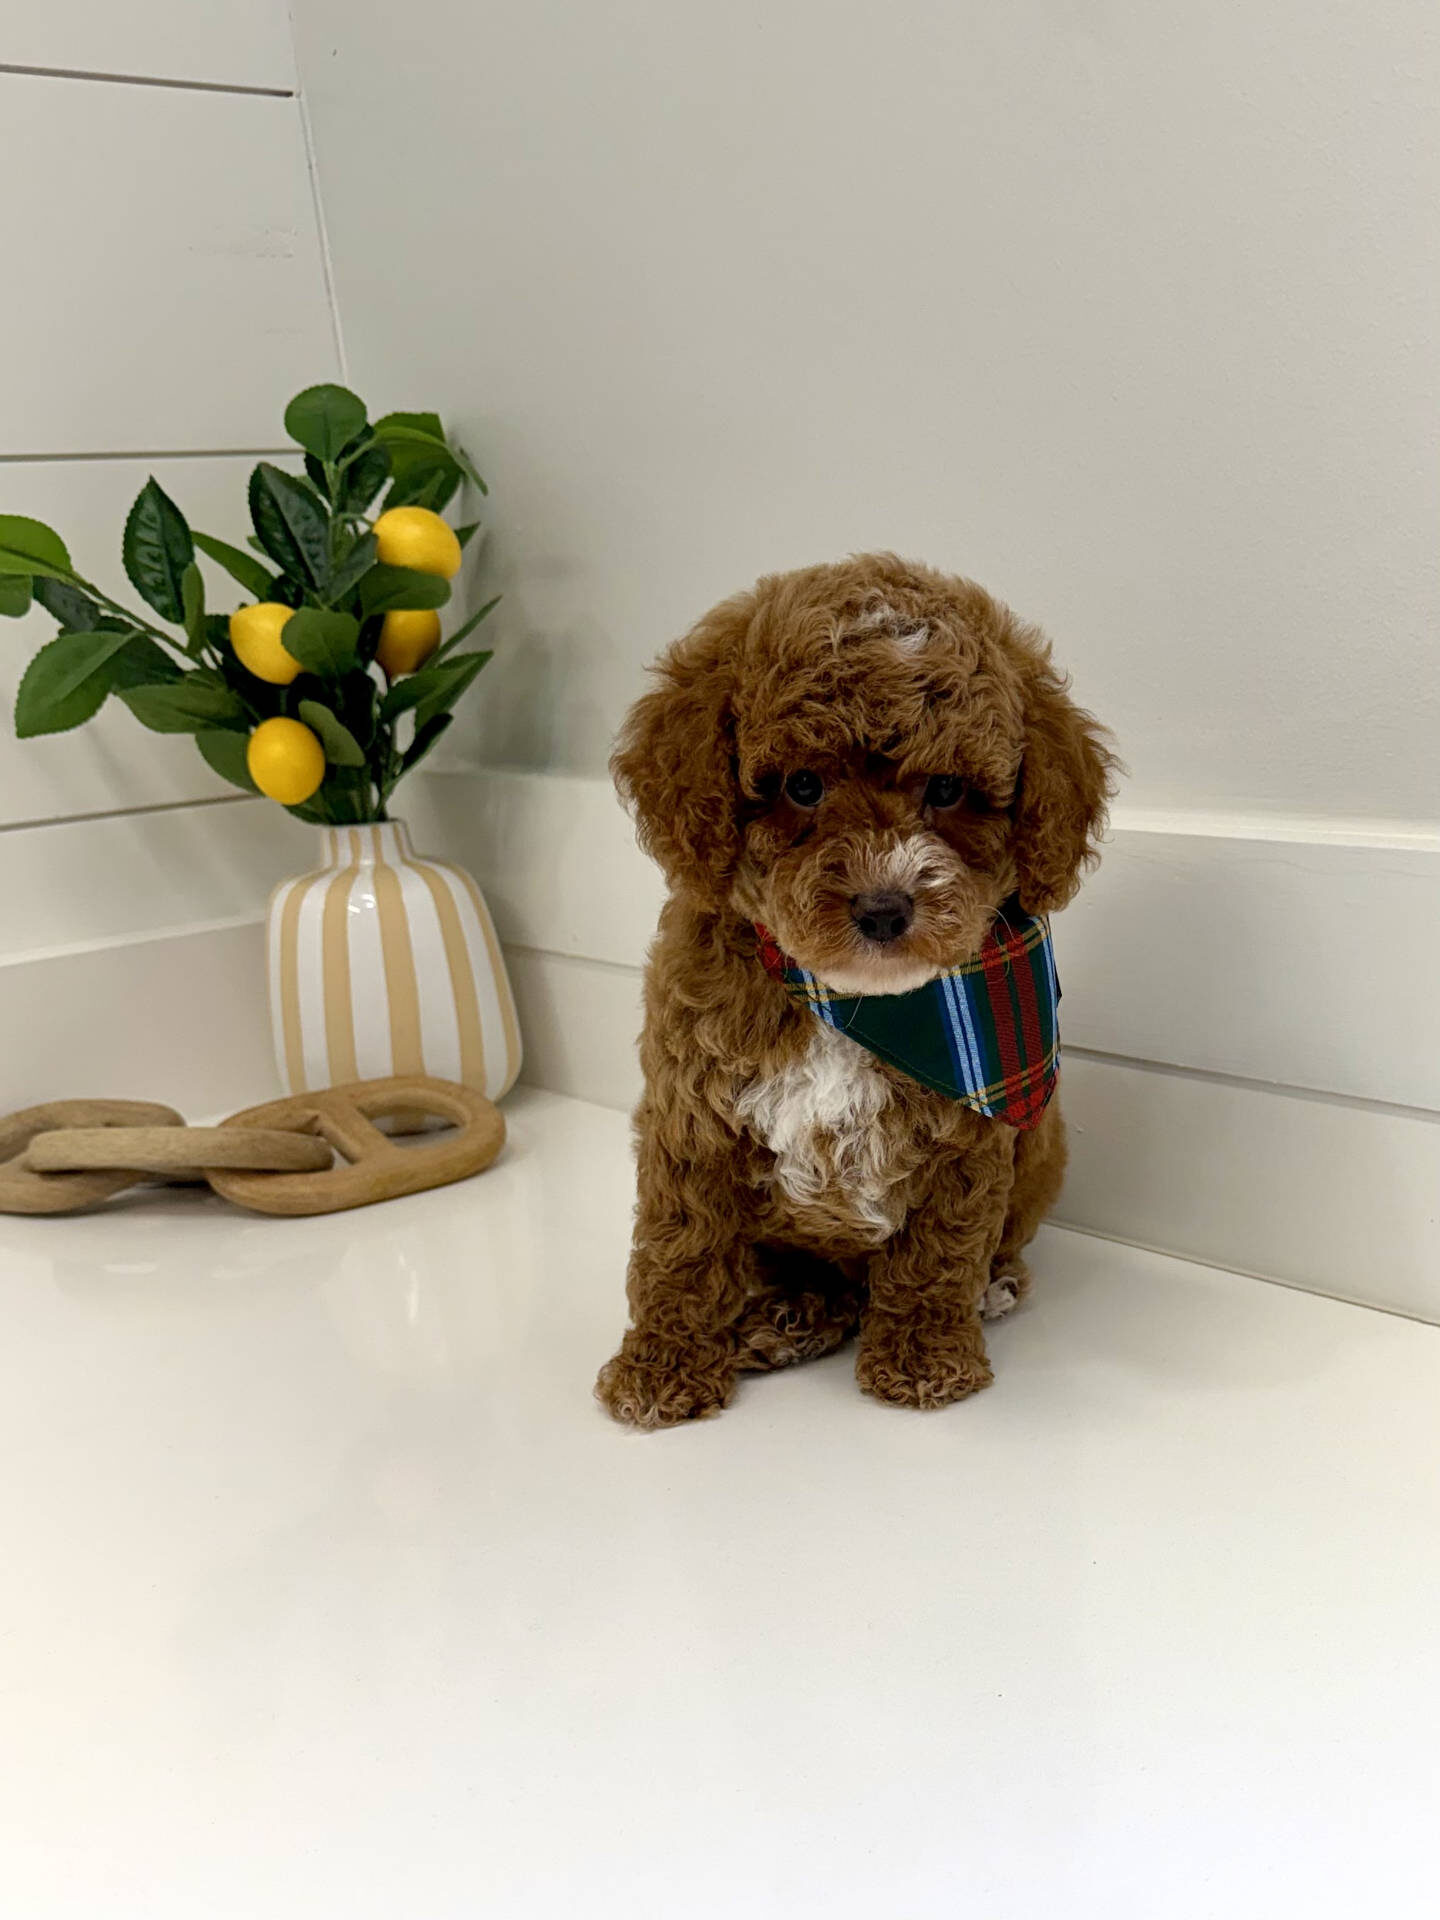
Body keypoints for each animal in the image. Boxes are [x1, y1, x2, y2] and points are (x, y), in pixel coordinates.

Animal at [596, 553, 1116, 1428]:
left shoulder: (969, 1144)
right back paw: (785, 1317)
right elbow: (682, 1246)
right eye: (803, 786)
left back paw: (991, 1288)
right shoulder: (692, 1116)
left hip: (1041, 1148)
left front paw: (925, 1357)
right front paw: (662, 1365)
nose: (884, 907)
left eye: (947, 790)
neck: (854, 1001)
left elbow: (938, 1253)